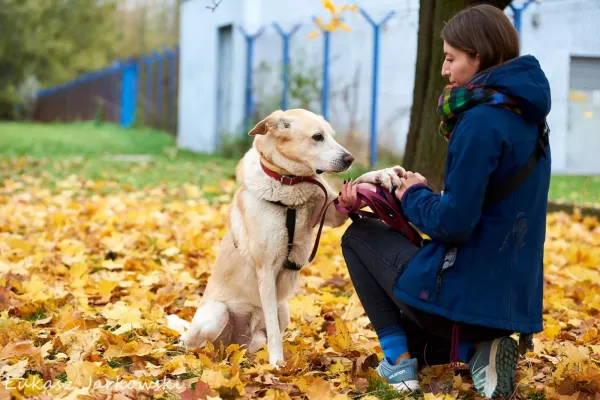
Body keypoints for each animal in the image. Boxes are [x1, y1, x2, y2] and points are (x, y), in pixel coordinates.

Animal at [166, 108, 356, 366]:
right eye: (317, 137)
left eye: (332, 136)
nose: (350, 159)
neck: (290, 184)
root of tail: (236, 344)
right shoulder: (266, 269)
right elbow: (274, 333)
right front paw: (277, 364)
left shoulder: (334, 214)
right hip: (217, 314)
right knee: (199, 346)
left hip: (282, 309)